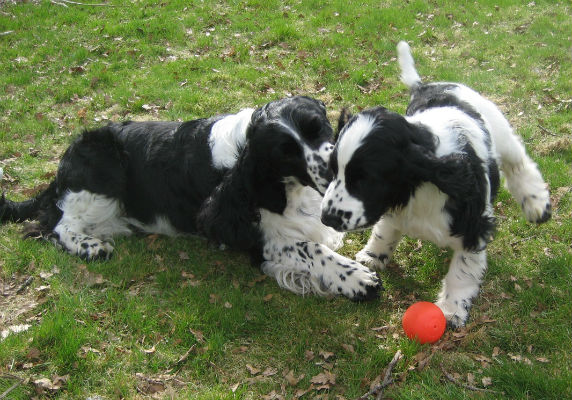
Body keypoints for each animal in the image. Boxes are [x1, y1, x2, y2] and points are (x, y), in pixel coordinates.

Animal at [3, 97, 384, 302]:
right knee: (55, 223)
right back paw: (89, 246)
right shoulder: (259, 239)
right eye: (285, 154)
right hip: (103, 168)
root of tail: (61, 168)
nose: (338, 170)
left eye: (318, 127)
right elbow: (310, 248)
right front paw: (356, 279)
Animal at [320, 42, 552, 326]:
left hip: (502, 132)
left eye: (365, 180)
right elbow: (386, 229)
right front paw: (373, 256)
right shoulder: (395, 206)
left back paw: (536, 205)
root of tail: (428, 86)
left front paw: (451, 309)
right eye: (333, 170)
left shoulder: (474, 223)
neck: (423, 186)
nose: (326, 218)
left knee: (519, 164)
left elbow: (463, 269)